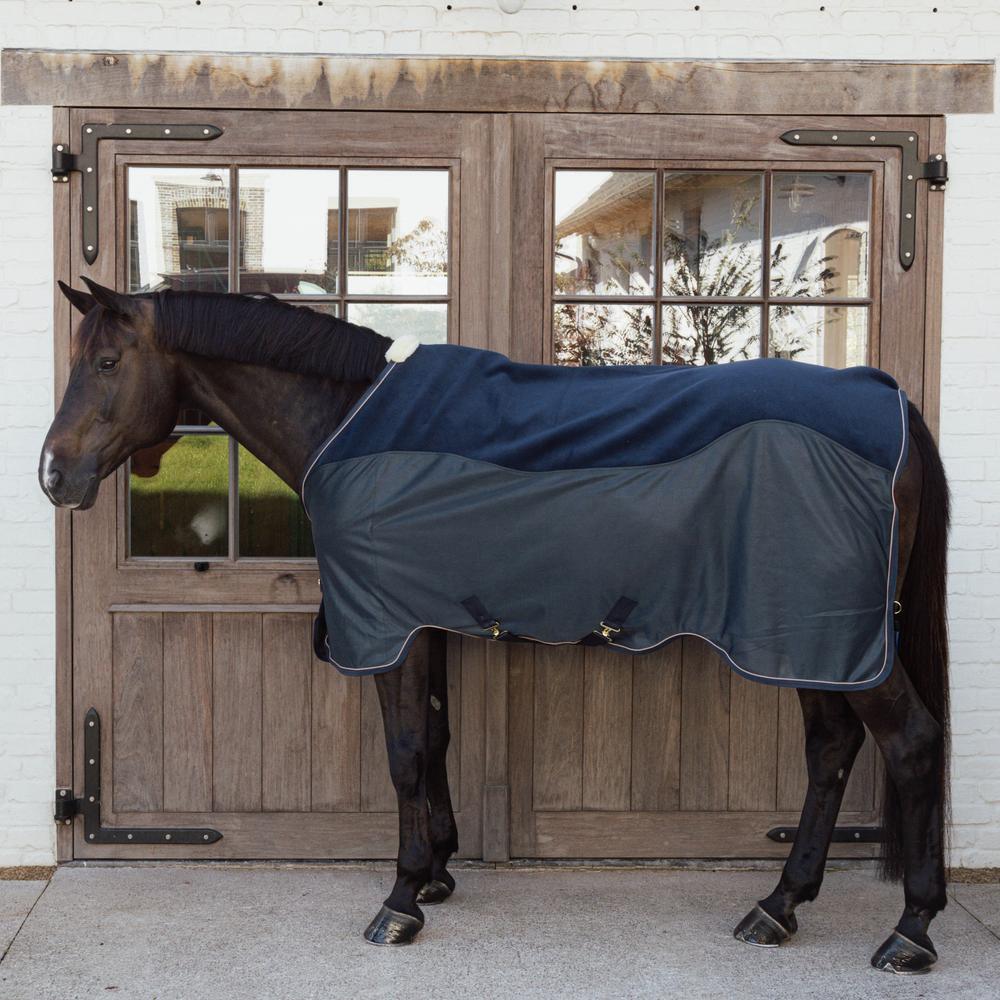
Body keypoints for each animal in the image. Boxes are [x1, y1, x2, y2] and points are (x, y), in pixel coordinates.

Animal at [41, 278, 950, 974]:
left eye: (108, 362)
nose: (54, 474)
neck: (347, 422)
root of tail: (890, 401)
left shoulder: (391, 626)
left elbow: (406, 753)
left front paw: (401, 899)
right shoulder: (426, 622)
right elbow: (437, 741)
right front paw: (439, 873)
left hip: (828, 638)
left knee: (909, 742)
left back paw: (909, 931)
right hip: (807, 642)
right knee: (831, 750)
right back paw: (779, 906)